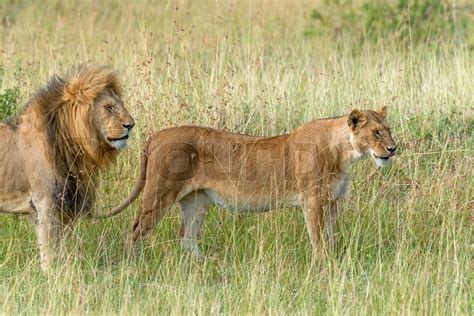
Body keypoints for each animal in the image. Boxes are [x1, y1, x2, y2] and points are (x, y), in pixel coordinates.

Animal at [0, 65, 135, 270]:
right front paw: (49, 274)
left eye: (121, 104)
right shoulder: (45, 202)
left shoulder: (66, 205)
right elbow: (48, 249)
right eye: (109, 107)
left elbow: (62, 246)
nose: (131, 125)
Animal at [105, 107, 394, 258]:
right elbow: (318, 238)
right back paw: (133, 264)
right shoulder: (313, 201)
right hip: (160, 193)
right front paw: (323, 264)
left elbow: (332, 237)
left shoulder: (332, 201)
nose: (393, 149)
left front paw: (334, 260)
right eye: (375, 132)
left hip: (197, 201)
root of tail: (155, 136)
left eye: (389, 130)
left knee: (187, 238)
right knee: (137, 229)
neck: (344, 153)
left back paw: (205, 264)